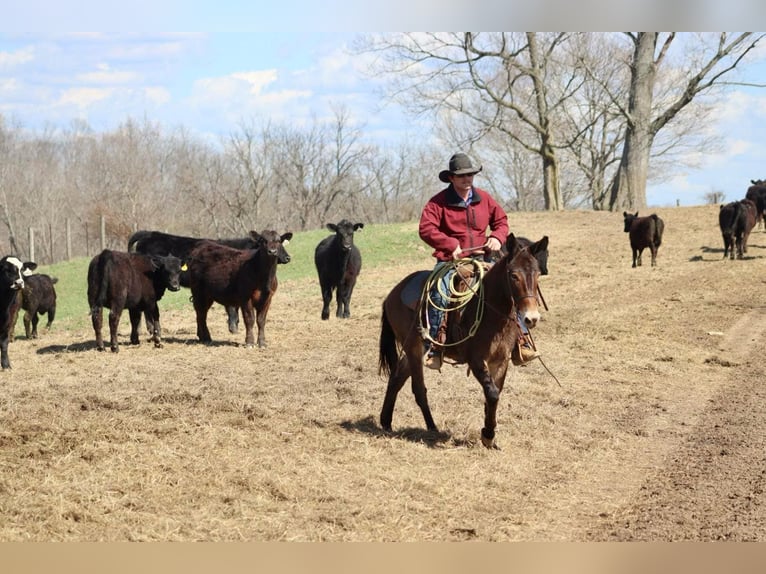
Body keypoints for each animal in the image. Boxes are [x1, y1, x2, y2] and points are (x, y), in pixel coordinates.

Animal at [378, 233, 548, 449]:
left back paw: (386, 421)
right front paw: (488, 434)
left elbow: (494, 393)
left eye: (537, 274)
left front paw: (489, 435)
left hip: (413, 351)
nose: (531, 318)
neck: (491, 311)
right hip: (414, 348)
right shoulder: (475, 360)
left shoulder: (501, 360)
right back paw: (432, 427)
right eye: (513, 276)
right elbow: (492, 393)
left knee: (396, 378)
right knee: (418, 389)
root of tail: (391, 295)